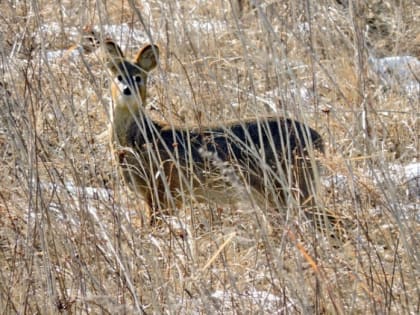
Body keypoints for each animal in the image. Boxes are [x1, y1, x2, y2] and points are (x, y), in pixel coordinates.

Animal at [102, 40, 324, 225]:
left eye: (138, 77)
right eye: (118, 77)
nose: (127, 89)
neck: (137, 140)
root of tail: (318, 139)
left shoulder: (164, 189)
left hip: (292, 186)